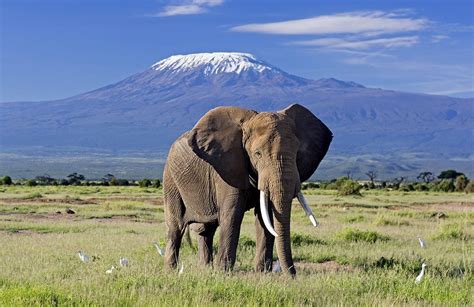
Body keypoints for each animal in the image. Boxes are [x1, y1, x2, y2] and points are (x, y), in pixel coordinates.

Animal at [163, 103, 334, 276]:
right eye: (257, 154)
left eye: (297, 152)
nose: (293, 276)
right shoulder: (227, 168)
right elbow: (232, 215)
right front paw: (223, 273)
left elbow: (265, 218)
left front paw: (262, 273)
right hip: (170, 179)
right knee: (176, 226)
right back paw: (171, 270)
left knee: (206, 230)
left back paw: (205, 269)